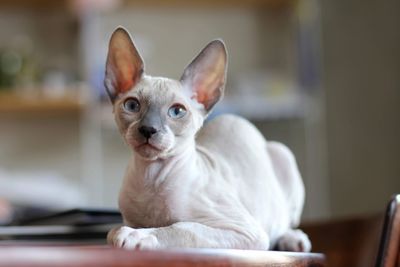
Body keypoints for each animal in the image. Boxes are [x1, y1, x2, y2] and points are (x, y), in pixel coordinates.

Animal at [104, 27, 310, 253]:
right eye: (132, 105)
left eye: (177, 111)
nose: (148, 129)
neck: (150, 178)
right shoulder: (127, 219)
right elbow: (112, 230)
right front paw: (130, 232)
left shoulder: (245, 229)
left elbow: (183, 228)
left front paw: (139, 235)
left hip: (283, 154)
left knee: (287, 223)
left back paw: (293, 240)